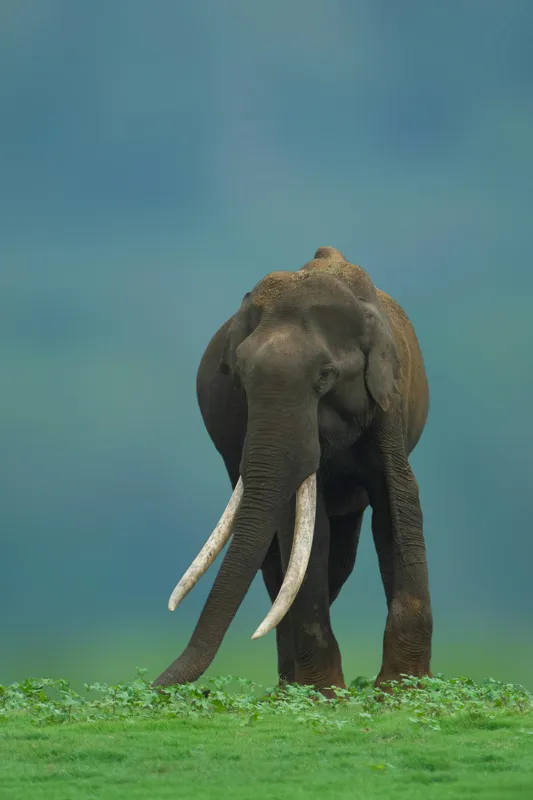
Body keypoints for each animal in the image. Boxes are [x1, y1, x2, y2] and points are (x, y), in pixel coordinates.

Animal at [153, 246, 433, 696]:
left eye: (326, 376)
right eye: (238, 377)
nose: (154, 687)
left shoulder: (388, 403)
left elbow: (398, 503)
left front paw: (400, 689)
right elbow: (301, 530)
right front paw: (324, 695)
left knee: (341, 556)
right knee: (280, 563)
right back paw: (290, 686)